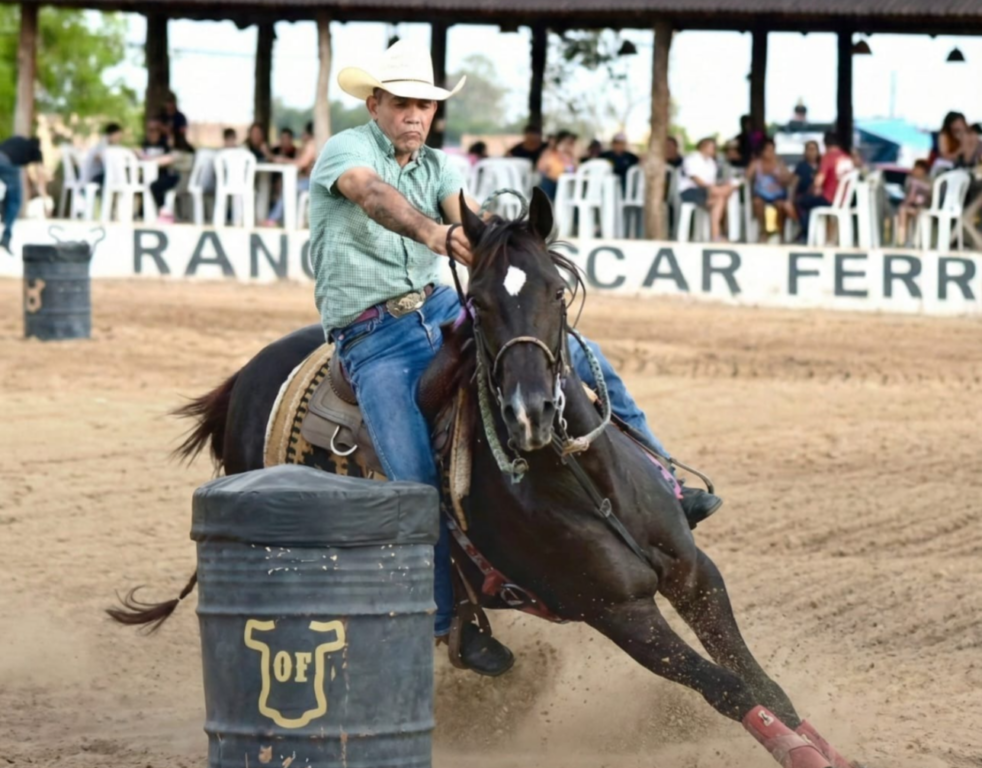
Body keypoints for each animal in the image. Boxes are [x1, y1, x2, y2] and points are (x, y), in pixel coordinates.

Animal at [108, 189, 856, 768]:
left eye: (556, 291)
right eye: (485, 305)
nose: (530, 413)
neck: (582, 479)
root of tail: (247, 376)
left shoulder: (695, 574)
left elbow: (762, 682)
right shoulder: (619, 612)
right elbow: (730, 689)